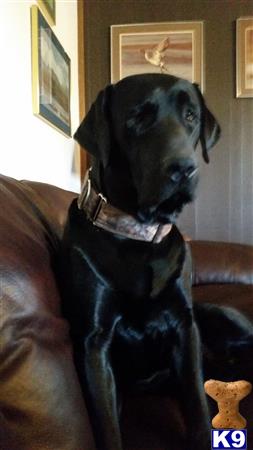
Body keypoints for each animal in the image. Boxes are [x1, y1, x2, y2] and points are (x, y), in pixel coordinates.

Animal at [58, 74, 253, 450]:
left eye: (191, 116)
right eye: (137, 117)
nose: (184, 168)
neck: (137, 234)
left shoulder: (184, 326)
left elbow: (196, 404)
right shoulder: (94, 342)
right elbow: (107, 424)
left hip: (219, 316)